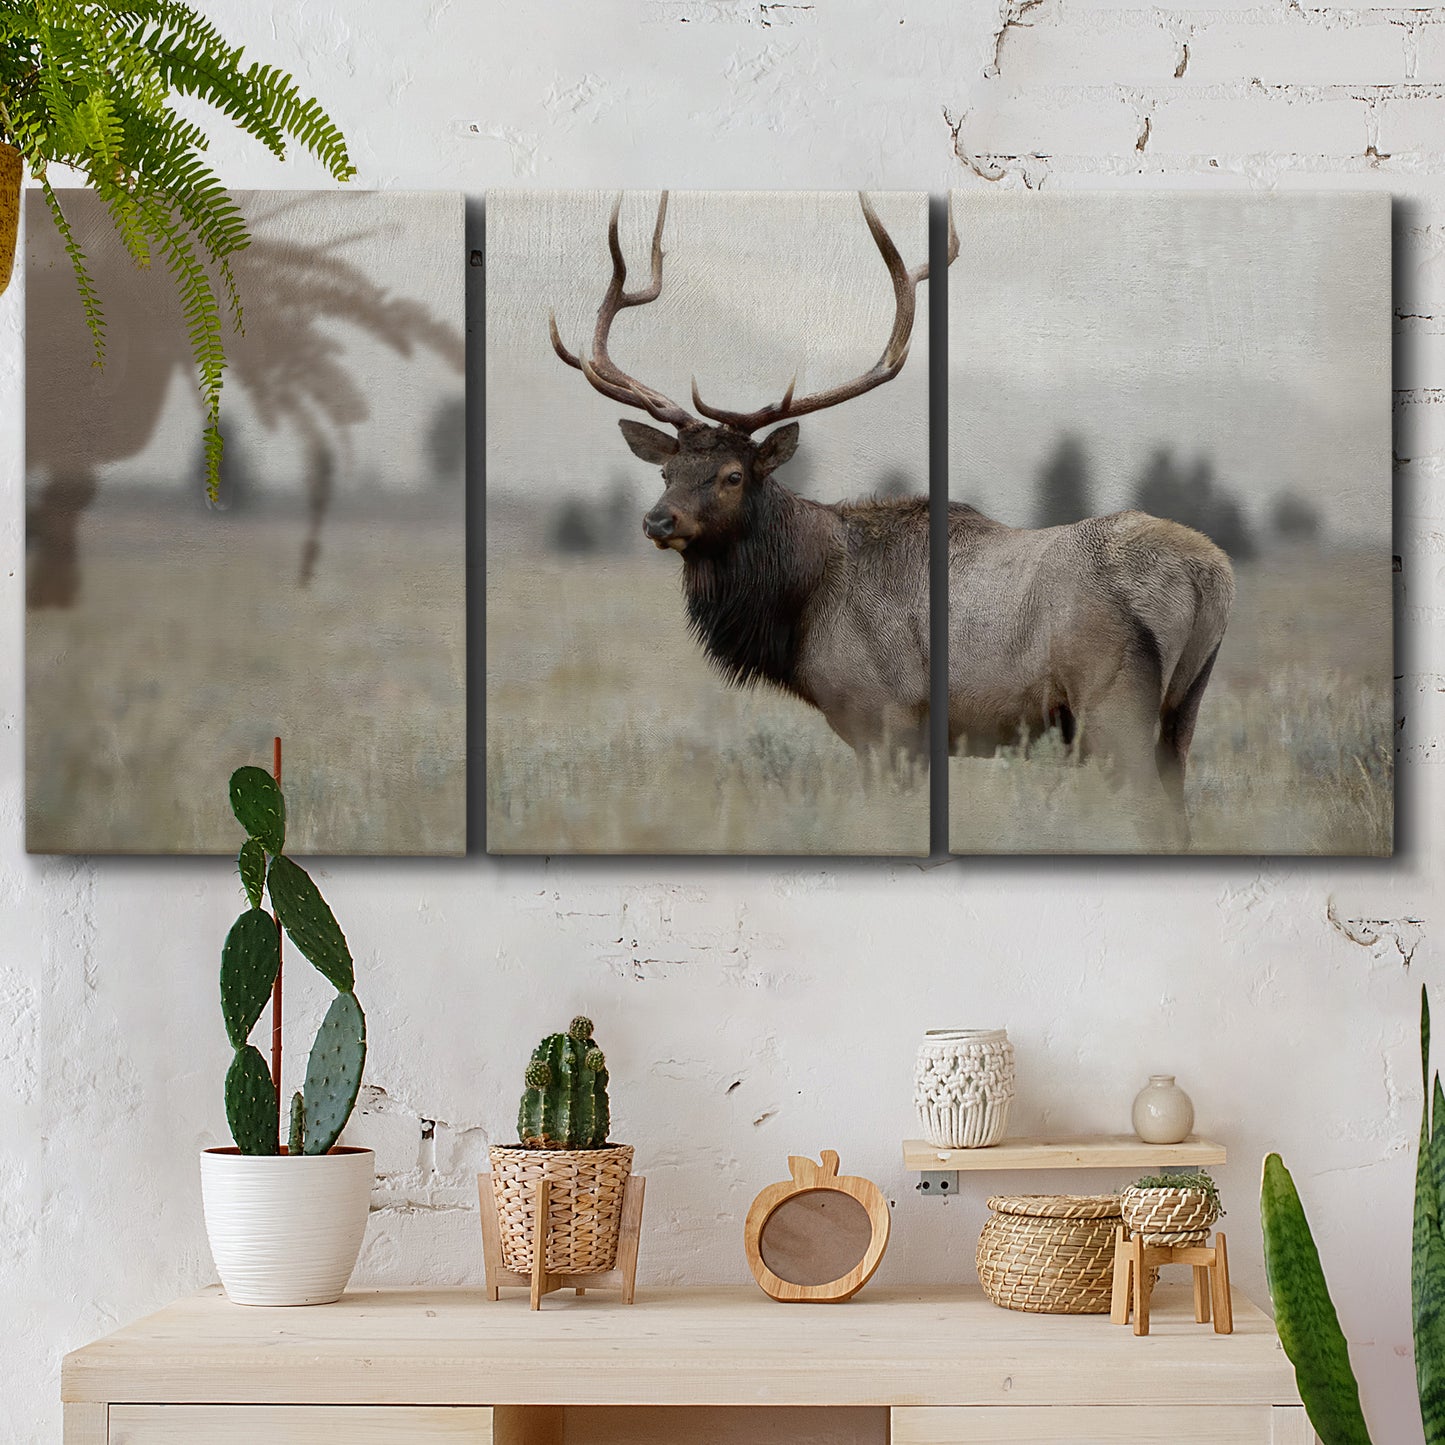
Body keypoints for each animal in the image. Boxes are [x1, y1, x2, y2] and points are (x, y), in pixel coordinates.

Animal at [549, 192, 1234, 845]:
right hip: (1183, 709)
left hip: (1113, 706)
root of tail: (1209, 575)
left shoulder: (884, 718)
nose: (658, 522)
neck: (801, 606)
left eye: (733, 476)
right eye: (666, 473)